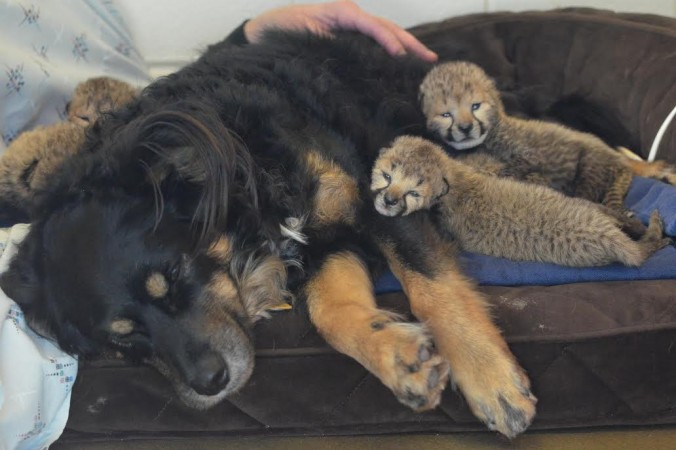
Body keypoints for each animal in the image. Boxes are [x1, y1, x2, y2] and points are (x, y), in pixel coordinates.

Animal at [1, 33, 540, 438]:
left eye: (174, 272)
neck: (248, 183)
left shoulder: (381, 195)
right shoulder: (322, 246)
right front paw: (399, 356)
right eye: (121, 339)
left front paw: (489, 379)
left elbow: (430, 287)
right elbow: (330, 313)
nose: (211, 383)